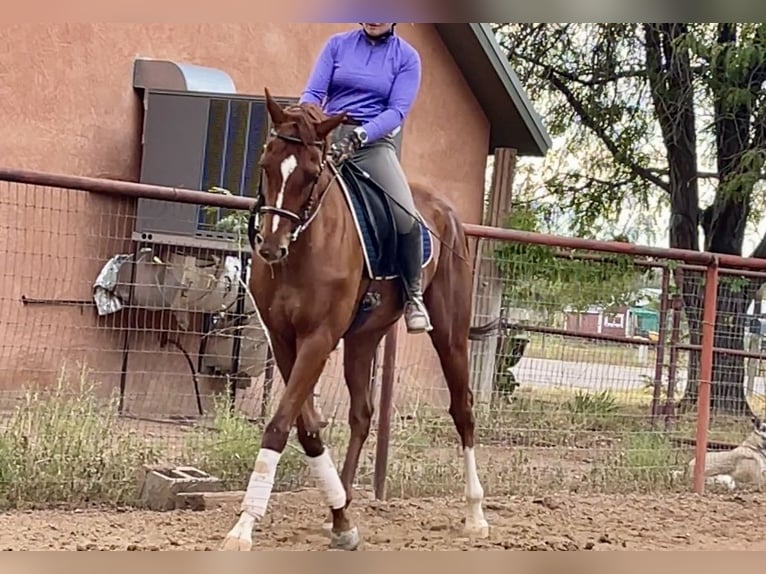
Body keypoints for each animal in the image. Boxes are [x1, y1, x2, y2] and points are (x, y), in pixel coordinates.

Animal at [222, 90, 492, 552]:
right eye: (265, 163)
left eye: (312, 173)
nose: (271, 247)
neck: (304, 249)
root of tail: (446, 211)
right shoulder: (285, 340)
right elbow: (308, 428)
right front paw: (341, 518)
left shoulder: (318, 338)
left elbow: (279, 425)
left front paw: (243, 526)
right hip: (364, 338)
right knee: (363, 414)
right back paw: (342, 501)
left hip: (450, 334)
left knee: (463, 409)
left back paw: (475, 514)